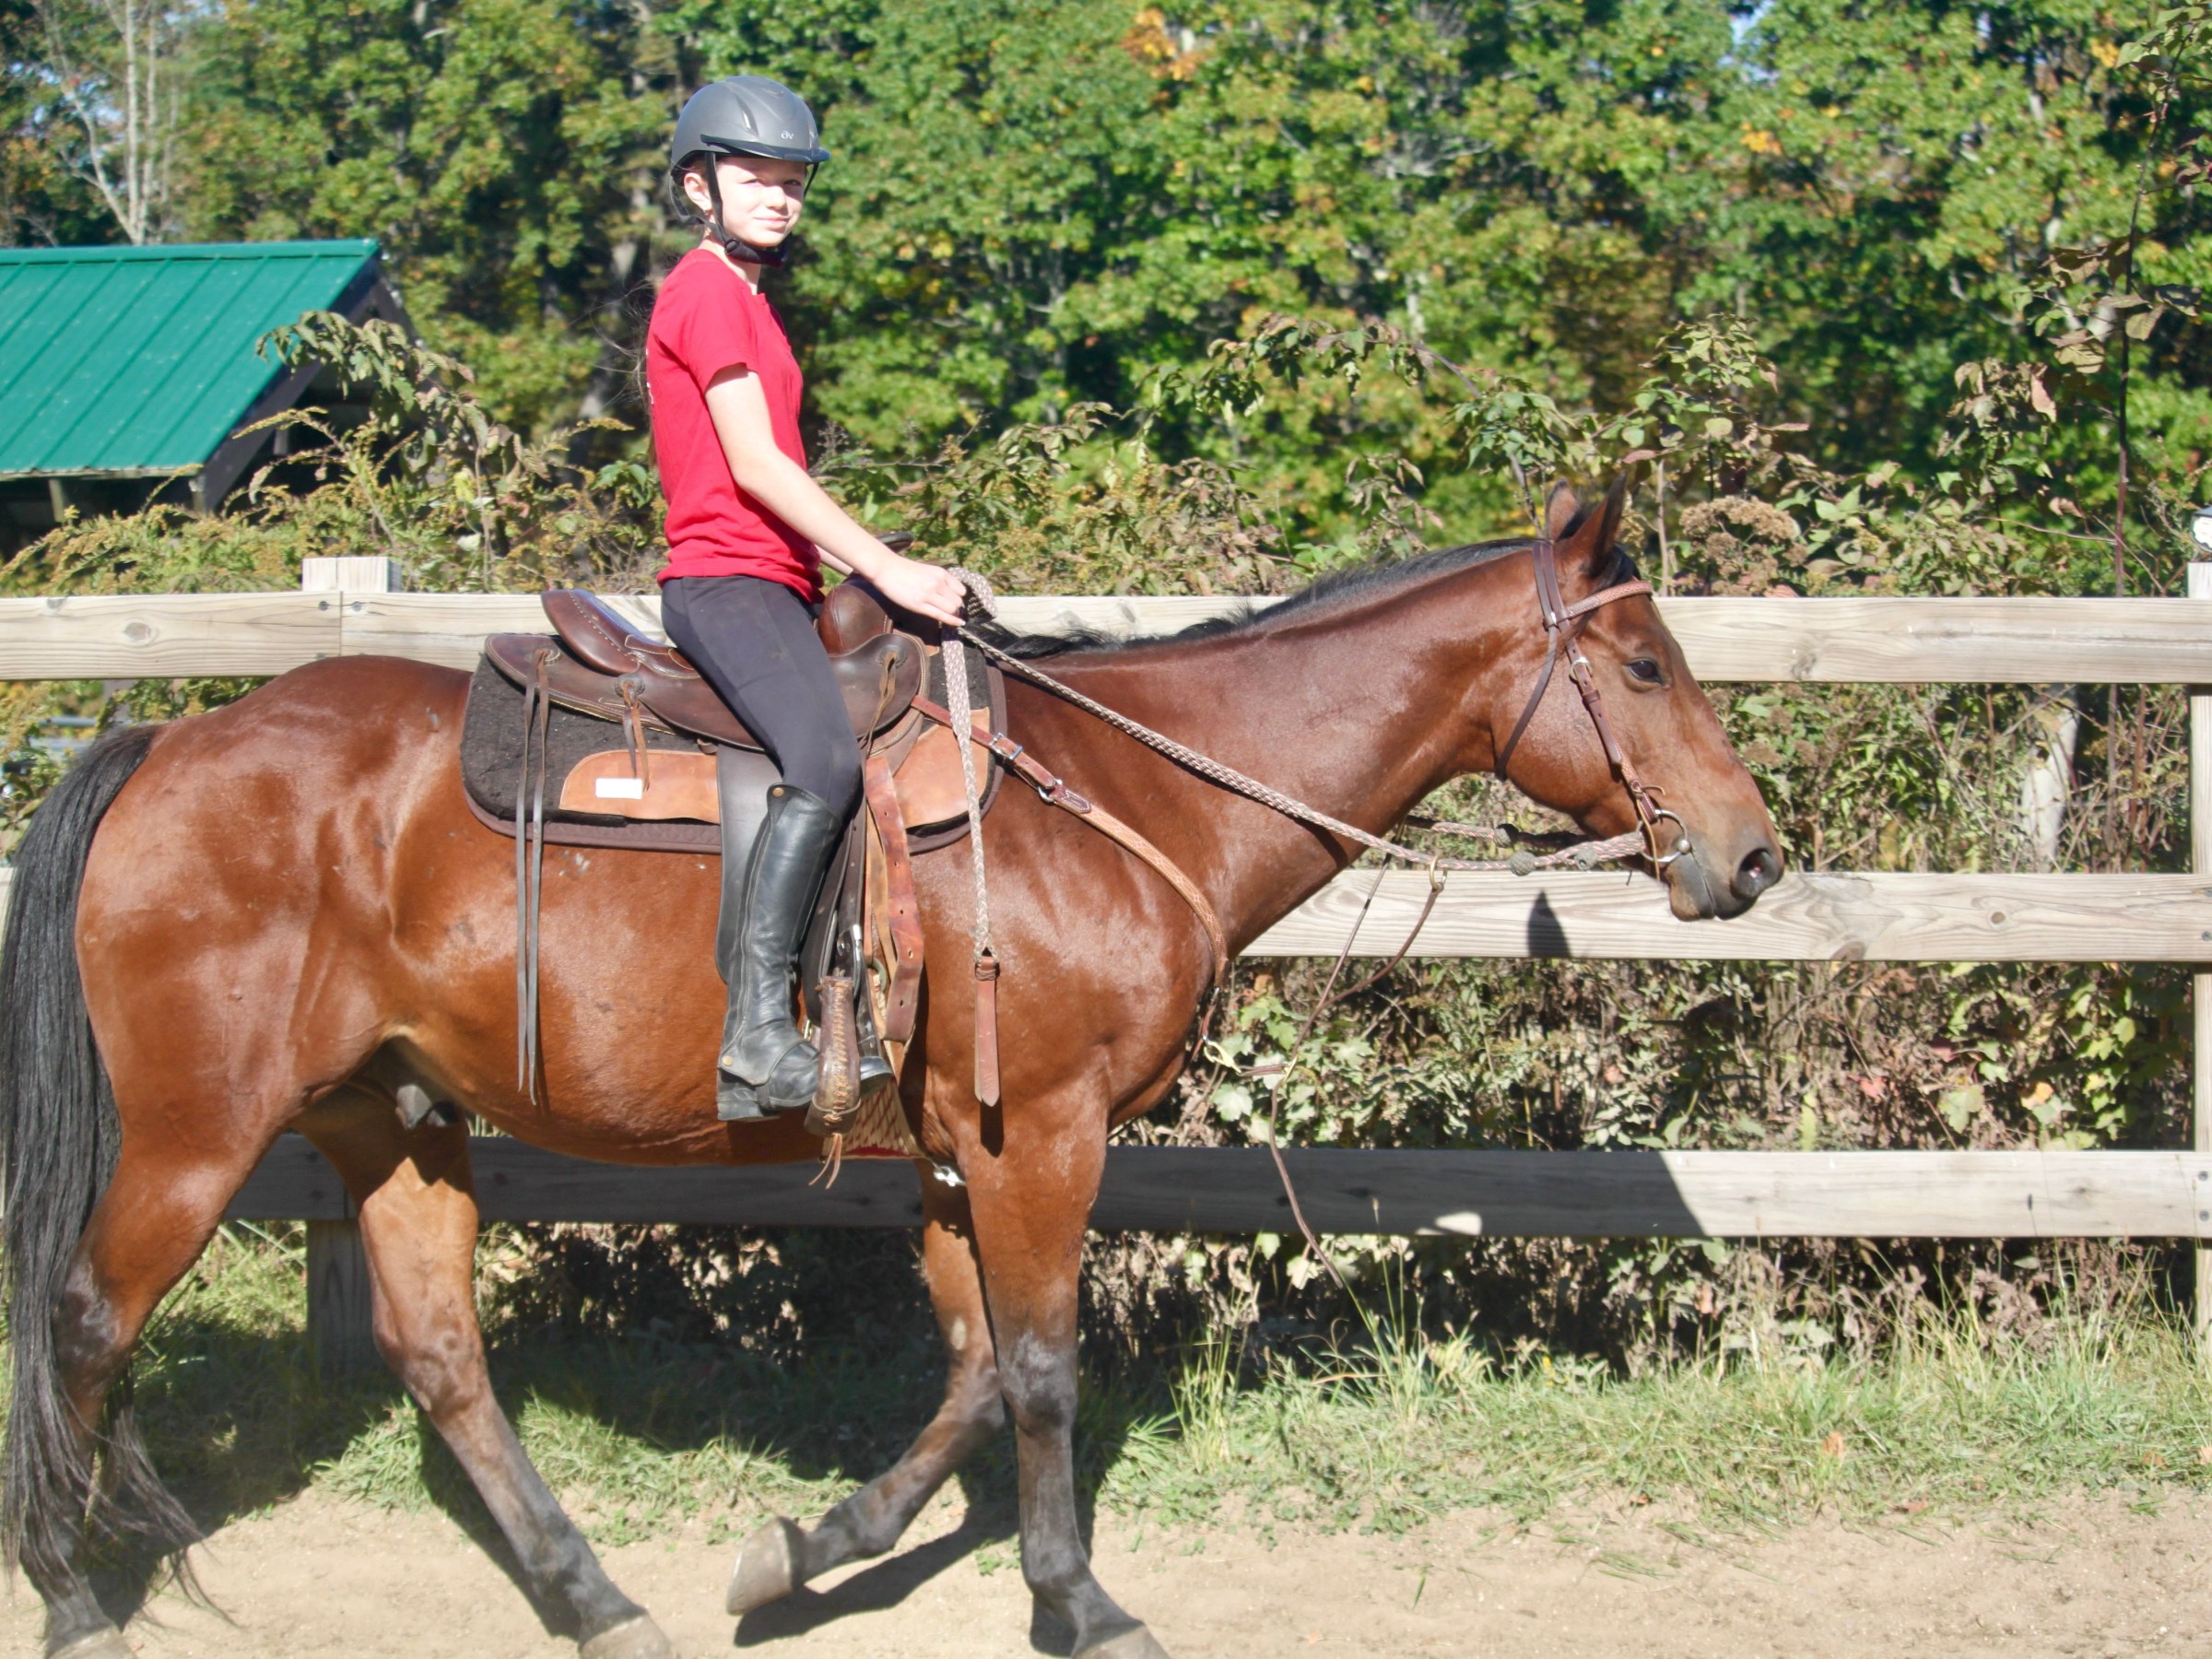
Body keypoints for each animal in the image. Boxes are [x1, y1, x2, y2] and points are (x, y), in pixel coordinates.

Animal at [0, 479, 1780, 1659]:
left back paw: (599, 1600)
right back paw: (78, 1600)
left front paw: (803, 1553)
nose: (1754, 858)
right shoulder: (1041, 1134)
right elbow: (1045, 1367)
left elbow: (979, 1367)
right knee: (84, 1322)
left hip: (387, 1120)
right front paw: (1077, 1602)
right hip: (196, 1131)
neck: (1122, 792)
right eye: (1643, 669)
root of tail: (169, 743)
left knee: (440, 1357)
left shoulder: (957, 1146)